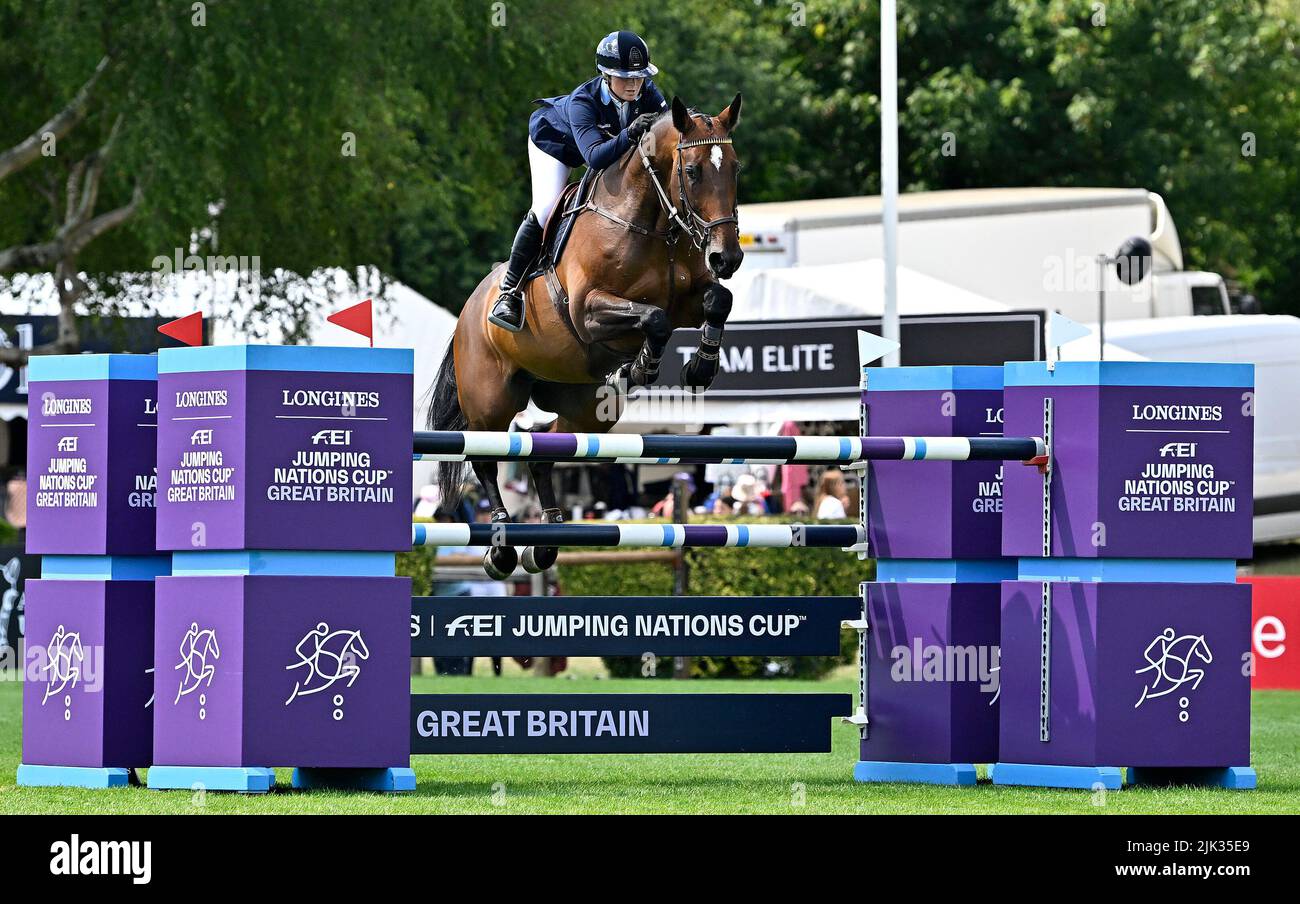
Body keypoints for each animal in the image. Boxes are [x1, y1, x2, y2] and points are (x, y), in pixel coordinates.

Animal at [428, 95, 743, 577]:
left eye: (736, 169)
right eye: (691, 172)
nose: (727, 257)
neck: (652, 223)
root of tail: (467, 311)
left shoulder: (688, 299)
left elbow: (716, 300)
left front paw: (700, 368)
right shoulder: (588, 311)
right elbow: (655, 319)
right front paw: (642, 366)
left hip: (586, 406)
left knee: (545, 447)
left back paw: (545, 543)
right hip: (490, 401)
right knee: (485, 458)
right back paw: (501, 547)